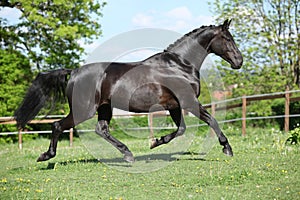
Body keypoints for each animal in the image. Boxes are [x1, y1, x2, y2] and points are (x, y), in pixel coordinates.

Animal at [15, 19, 243, 162]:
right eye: (228, 39)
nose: (239, 61)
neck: (179, 65)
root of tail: (74, 72)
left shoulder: (174, 106)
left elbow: (181, 129)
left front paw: (155, 143)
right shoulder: (189, 102)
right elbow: (212, 120)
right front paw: (227, 148)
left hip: (104, 108)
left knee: (101, 129)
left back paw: (128, 154)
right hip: (84, 110)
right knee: (57, 125)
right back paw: (46, 156)